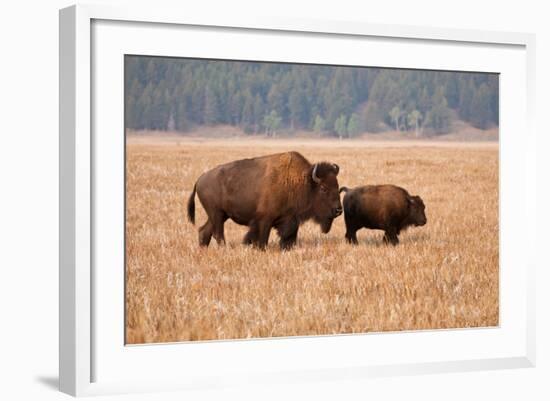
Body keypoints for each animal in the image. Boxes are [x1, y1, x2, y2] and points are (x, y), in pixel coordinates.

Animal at [190, 151, 344, 248]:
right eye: (323, 188)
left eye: (337, 186)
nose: (338, 210)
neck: (302, 182)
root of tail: (200, 179)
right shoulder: (264, 220)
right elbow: (262, 239)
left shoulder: (291, 219)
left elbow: (289, 237)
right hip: (217, 214)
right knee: (218, 233)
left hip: (220, 215)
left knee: (205, 231)